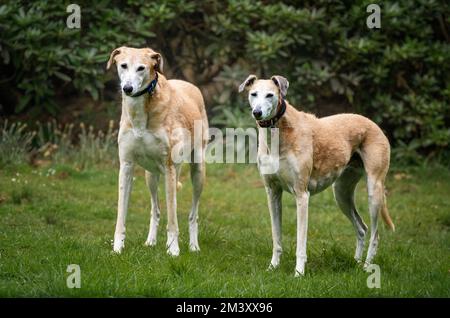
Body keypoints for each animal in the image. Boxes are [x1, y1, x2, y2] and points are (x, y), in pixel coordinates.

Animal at [107, 46, 209, 256]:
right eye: (123, 65)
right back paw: (151, 241)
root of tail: (189, 84)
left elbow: (173, 220)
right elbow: (121, 214)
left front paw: (173, 250)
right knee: (156, 209)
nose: (127, 88)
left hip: (197, 173)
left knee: (192, 213)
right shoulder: (126, 166)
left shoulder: (169, 168)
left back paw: (194, 246)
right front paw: (117, 248)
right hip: (150, 177)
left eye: (141, 68)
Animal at [239, 74, 394, 276]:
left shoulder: (302, 196)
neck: (278, 132)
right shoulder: (272, 193)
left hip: (373, 192)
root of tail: (374, 124)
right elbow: (276, 238)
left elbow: (301, 243)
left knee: (375, 234)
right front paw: (272, 267)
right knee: (362, 228)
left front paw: (299, 273)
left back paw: (368, 266)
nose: (257, 113)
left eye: (270, 95)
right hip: (341, 194)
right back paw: (356, 262)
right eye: (253, 94)